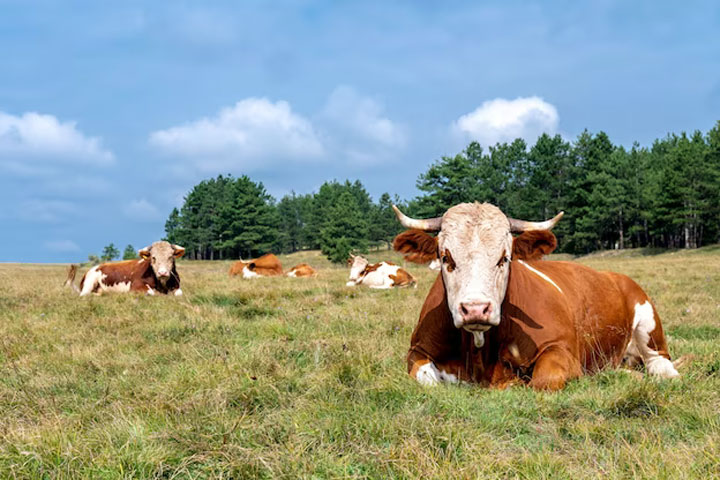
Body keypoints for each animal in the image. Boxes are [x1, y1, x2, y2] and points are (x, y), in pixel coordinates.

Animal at [390, 202, 676, 390]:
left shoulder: (561, 348)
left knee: (659, 362)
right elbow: (426, 379)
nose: (475, 309)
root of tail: (615, 275)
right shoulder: (418, 350)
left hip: (648, 323)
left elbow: (543, 379)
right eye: (445, 257)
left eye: (504, 258)